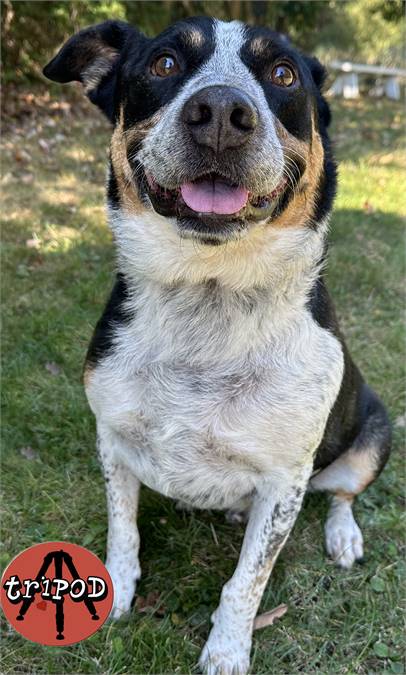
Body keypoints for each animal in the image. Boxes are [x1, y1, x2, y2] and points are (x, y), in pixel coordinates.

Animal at [43, 18, 390, 672]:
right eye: (164, 63)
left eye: (283, 74)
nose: (224, 113)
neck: (210, 296)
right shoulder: (112, 437)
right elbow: (122, 531)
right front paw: (117, 592)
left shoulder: (284, 482)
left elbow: (246, 582)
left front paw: (227, 650)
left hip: (375, 433)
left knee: (342, 494)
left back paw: (343, 535)